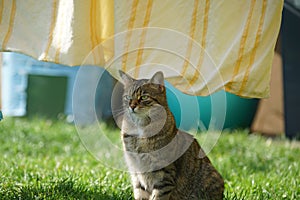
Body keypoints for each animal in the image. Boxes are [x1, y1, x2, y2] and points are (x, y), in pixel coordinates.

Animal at [118, 70, 224, 200]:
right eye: (128, 97)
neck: (140, 128)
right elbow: (140, 194)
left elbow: (158, 196)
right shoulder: (136, 173)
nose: (131, 106)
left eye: (144, 97)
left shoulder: (164, 175)